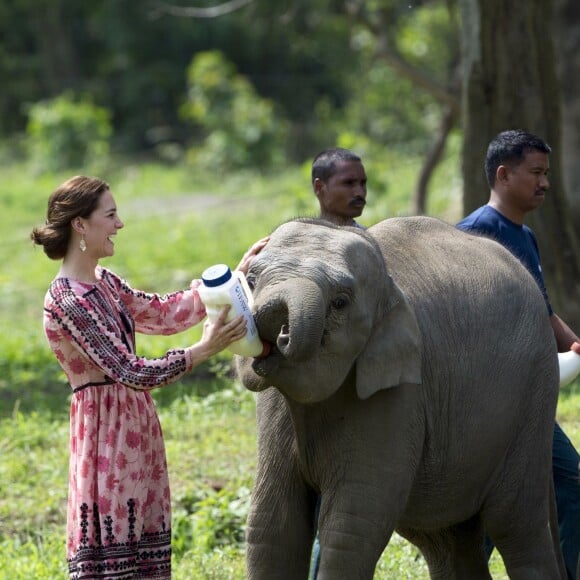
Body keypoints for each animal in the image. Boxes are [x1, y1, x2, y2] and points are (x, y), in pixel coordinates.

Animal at [237, 218, 568, 580]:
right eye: (250, 281)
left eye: (340, 302)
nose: (279, 332)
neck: (388, 285)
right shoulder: (276, 408)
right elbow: (272, 525)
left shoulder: (398, 394)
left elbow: (352, 527)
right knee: (446, 538)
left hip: (533, 399)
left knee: (516, 524)